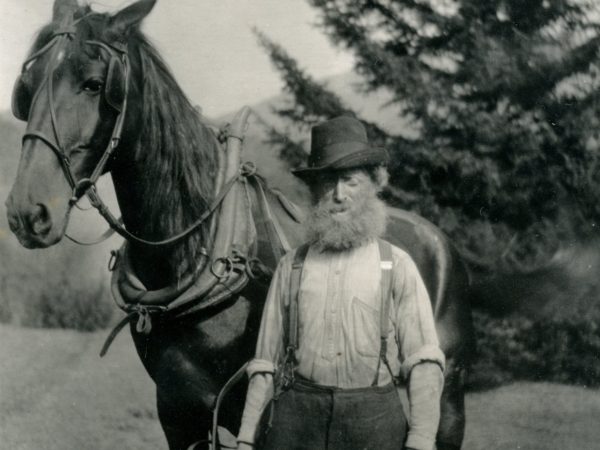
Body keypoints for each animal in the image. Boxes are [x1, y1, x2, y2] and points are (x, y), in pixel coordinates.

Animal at [4, 1, 474, 448]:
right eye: (27, 89)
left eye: (94, 84)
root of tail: (436, 237)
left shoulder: (264, 412)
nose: (27, 212)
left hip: (448, 395)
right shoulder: (177, 413)